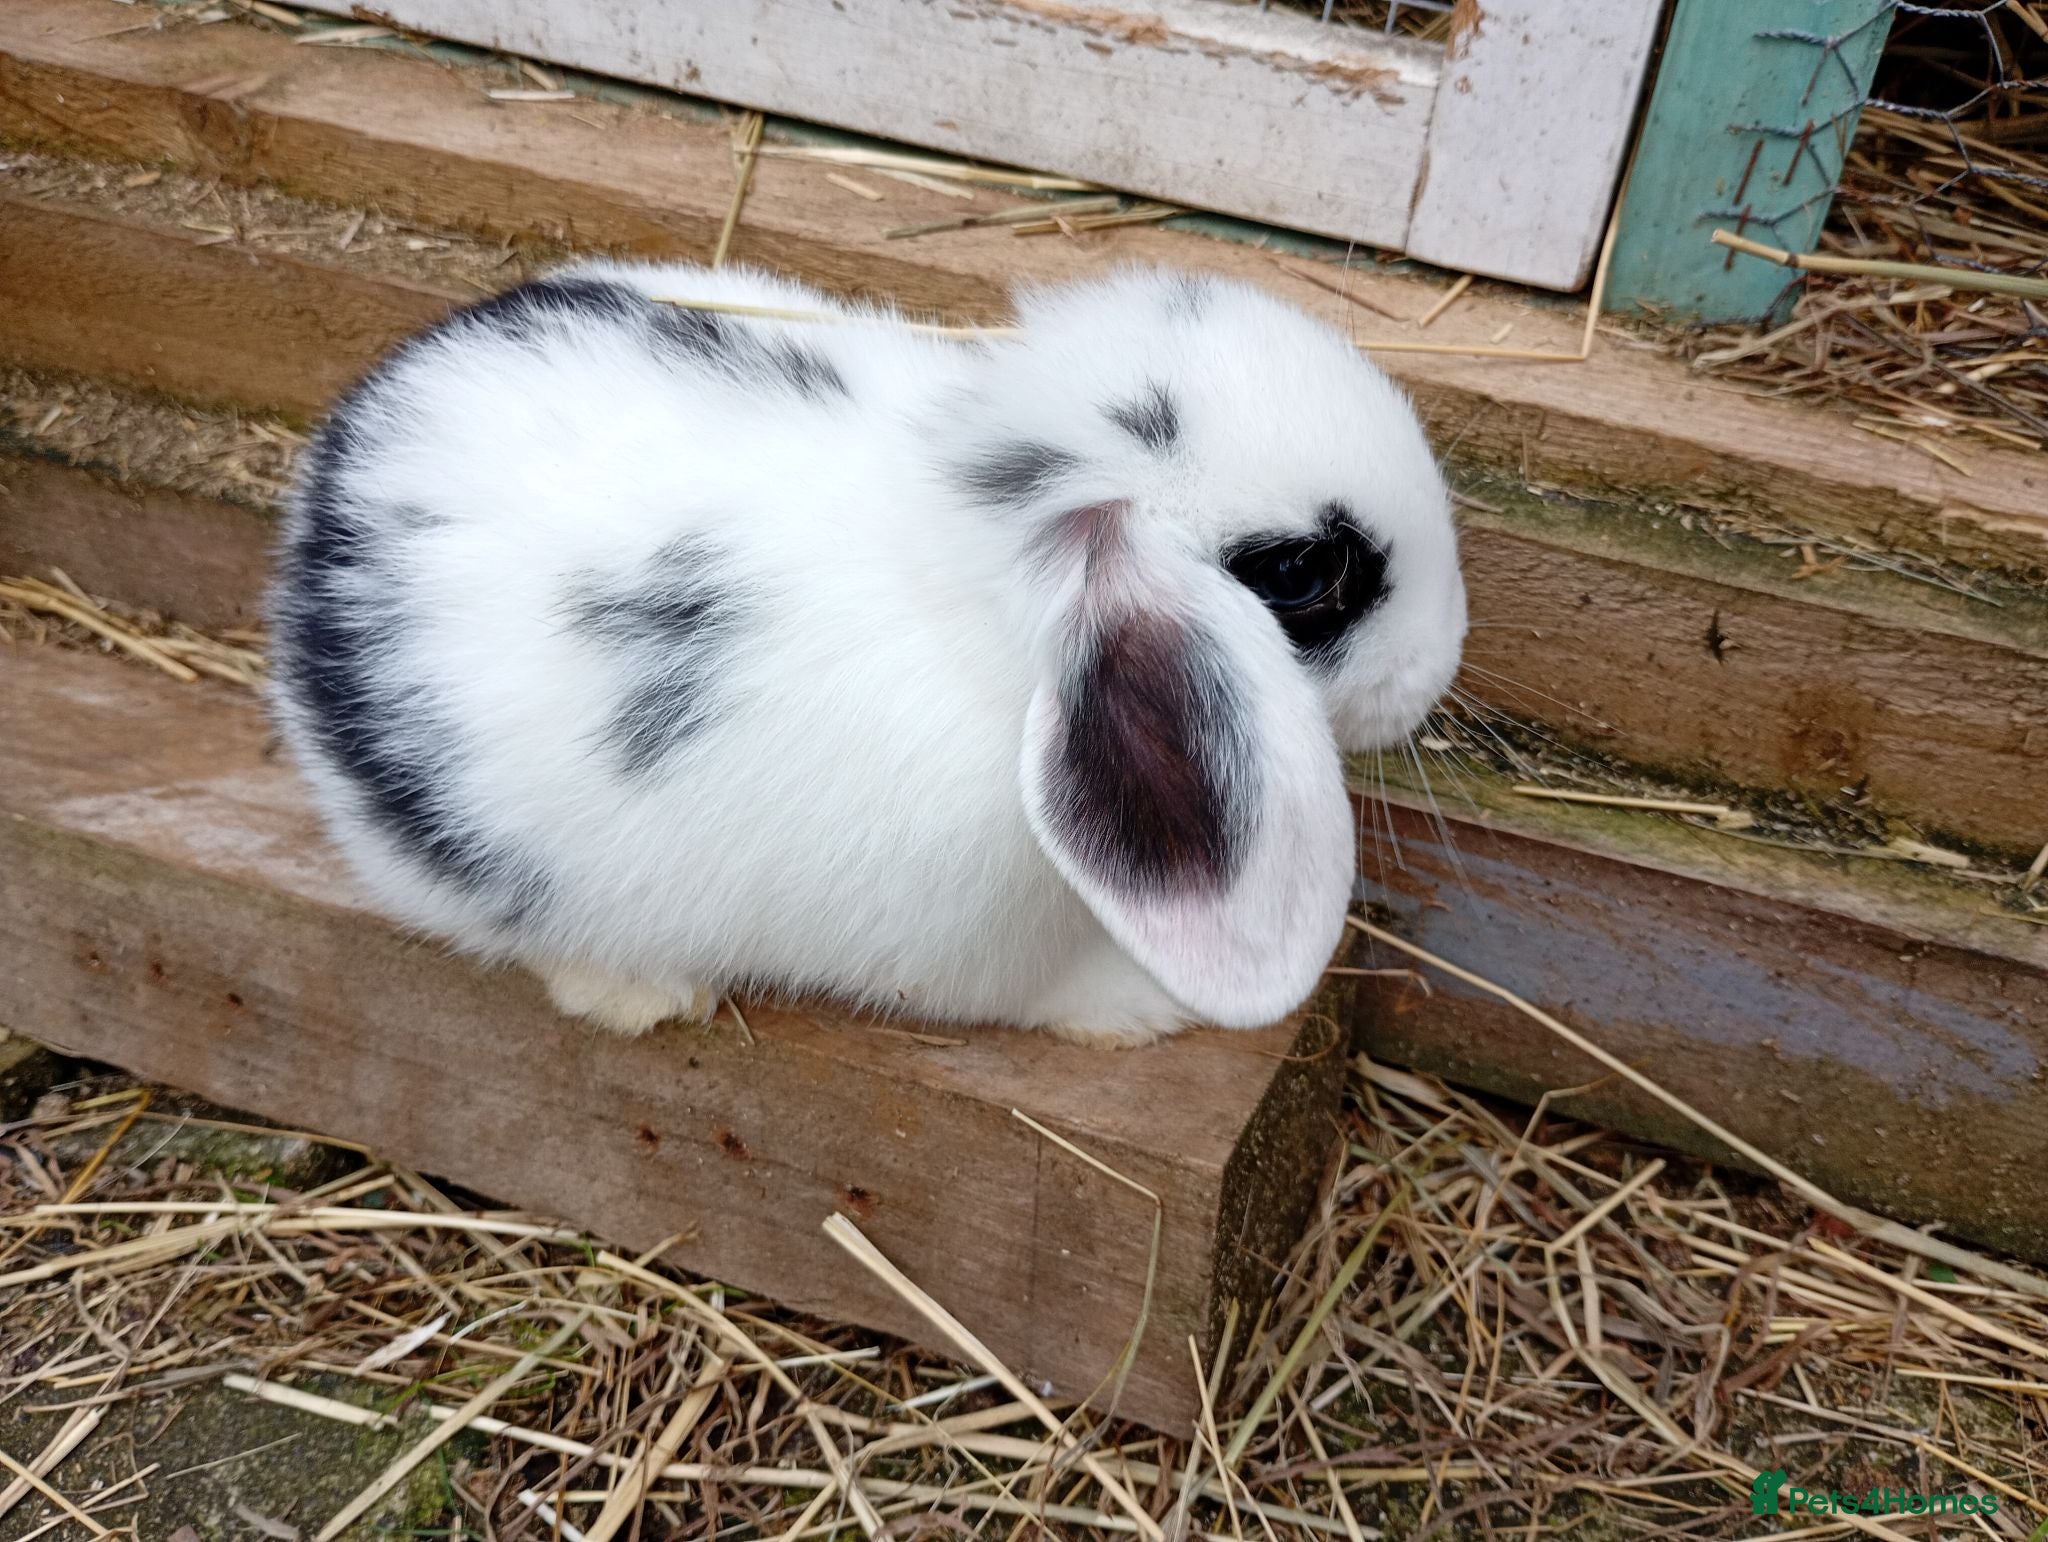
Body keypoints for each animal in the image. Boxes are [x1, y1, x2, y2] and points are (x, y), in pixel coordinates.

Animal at [267, 260, 1465, 1047]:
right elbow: (1045, 998)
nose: (1443, 657)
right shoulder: (970, 952)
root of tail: (327, 487)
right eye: (1303, 573)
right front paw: (1145, 1012)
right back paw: (644, 993)